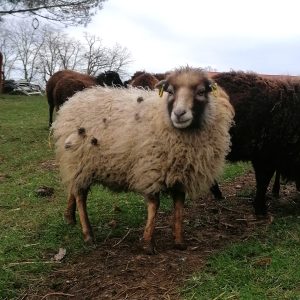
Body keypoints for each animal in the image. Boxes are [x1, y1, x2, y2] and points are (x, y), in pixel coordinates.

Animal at [52, 67, 234, 254]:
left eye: (201, 92)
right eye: (170, 91)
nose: (179, 114)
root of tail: (73, 100)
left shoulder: (180, 173)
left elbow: (179, 204)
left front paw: (179, 241)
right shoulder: (151, 169)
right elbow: (154, 204)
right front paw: (147, 243)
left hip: (77, 164)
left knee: (73, 188)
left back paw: (69, 217)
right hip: (79, 161)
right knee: (80, 195)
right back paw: (88, 234)